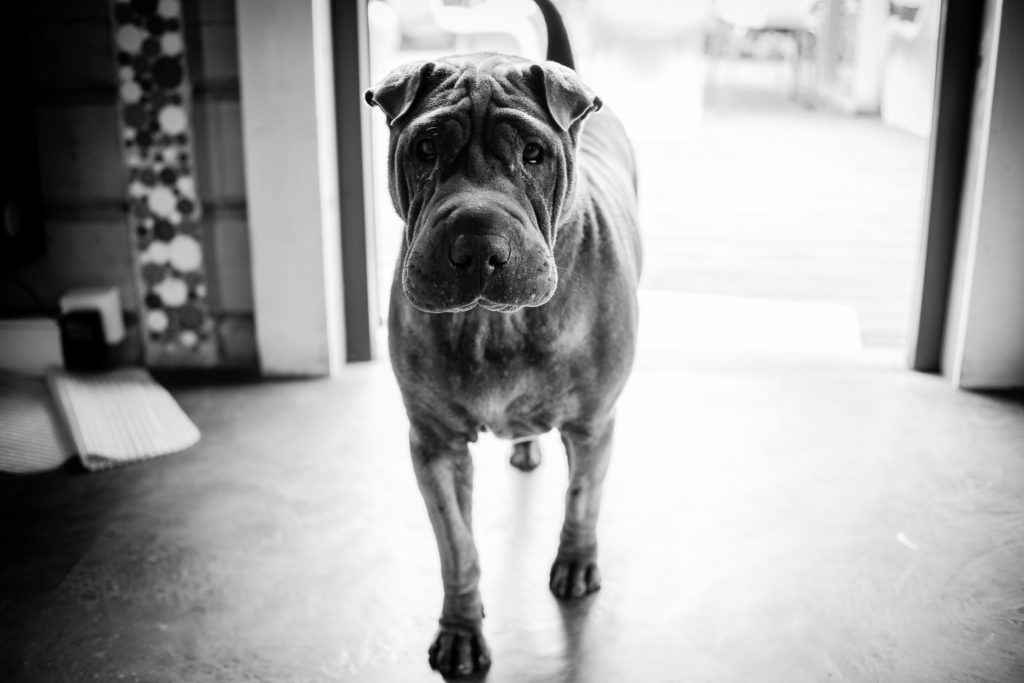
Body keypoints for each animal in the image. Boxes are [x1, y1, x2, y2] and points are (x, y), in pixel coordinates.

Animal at [368, 0, 638, 671]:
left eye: (535, 154)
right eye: (426, 147)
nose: (477, 245)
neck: (494, 323)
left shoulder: (593, 423)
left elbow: (582, 497)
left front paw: (576, 560)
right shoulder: (434, 444)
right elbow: (457, 548)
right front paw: (462, 629)